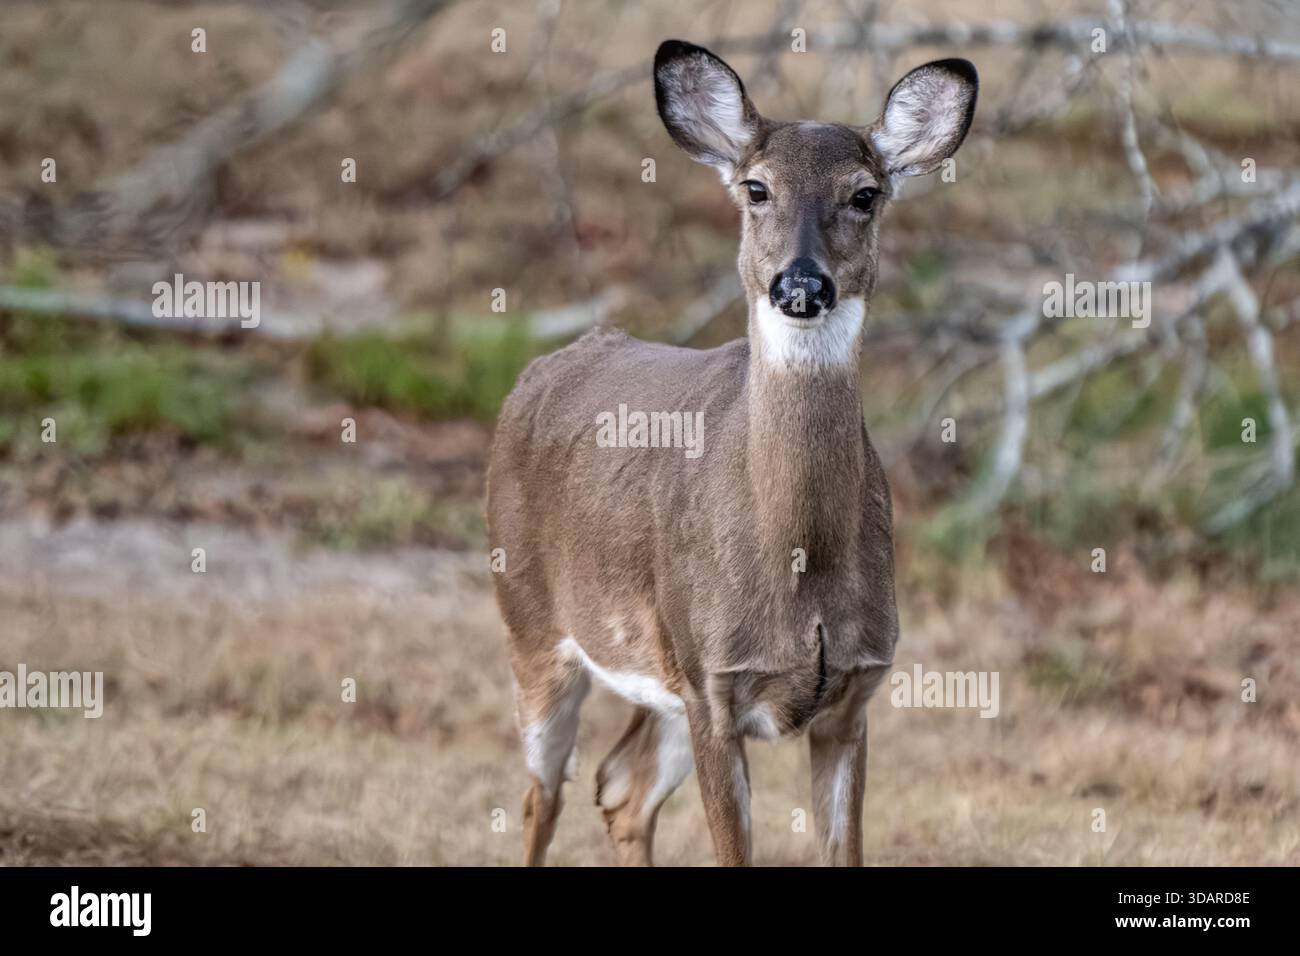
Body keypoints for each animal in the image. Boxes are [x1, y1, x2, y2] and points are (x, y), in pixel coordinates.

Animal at [487, 39, 977, 866]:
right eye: (757, 187)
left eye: (865, 194)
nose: (801, 283)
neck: (800, 560)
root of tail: (536, 373)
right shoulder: (713, 682)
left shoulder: (852, 696)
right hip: (531, 621)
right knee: (540, 796)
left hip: (658, 678)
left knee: (620, 786)